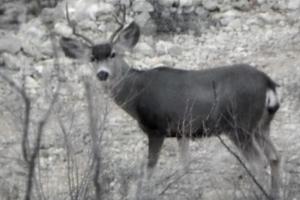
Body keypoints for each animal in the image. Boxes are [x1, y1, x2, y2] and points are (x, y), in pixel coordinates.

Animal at [59, 9, 282, 198]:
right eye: (92, 58)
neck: (137, 92)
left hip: (239, 125)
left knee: (258, 162)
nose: (102, 74)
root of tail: (268, 83)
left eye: (113, 53)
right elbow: (185, 167)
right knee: (274, 157)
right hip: (261, 125)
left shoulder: (156, 129)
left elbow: (149, 171)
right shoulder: (182, 131)